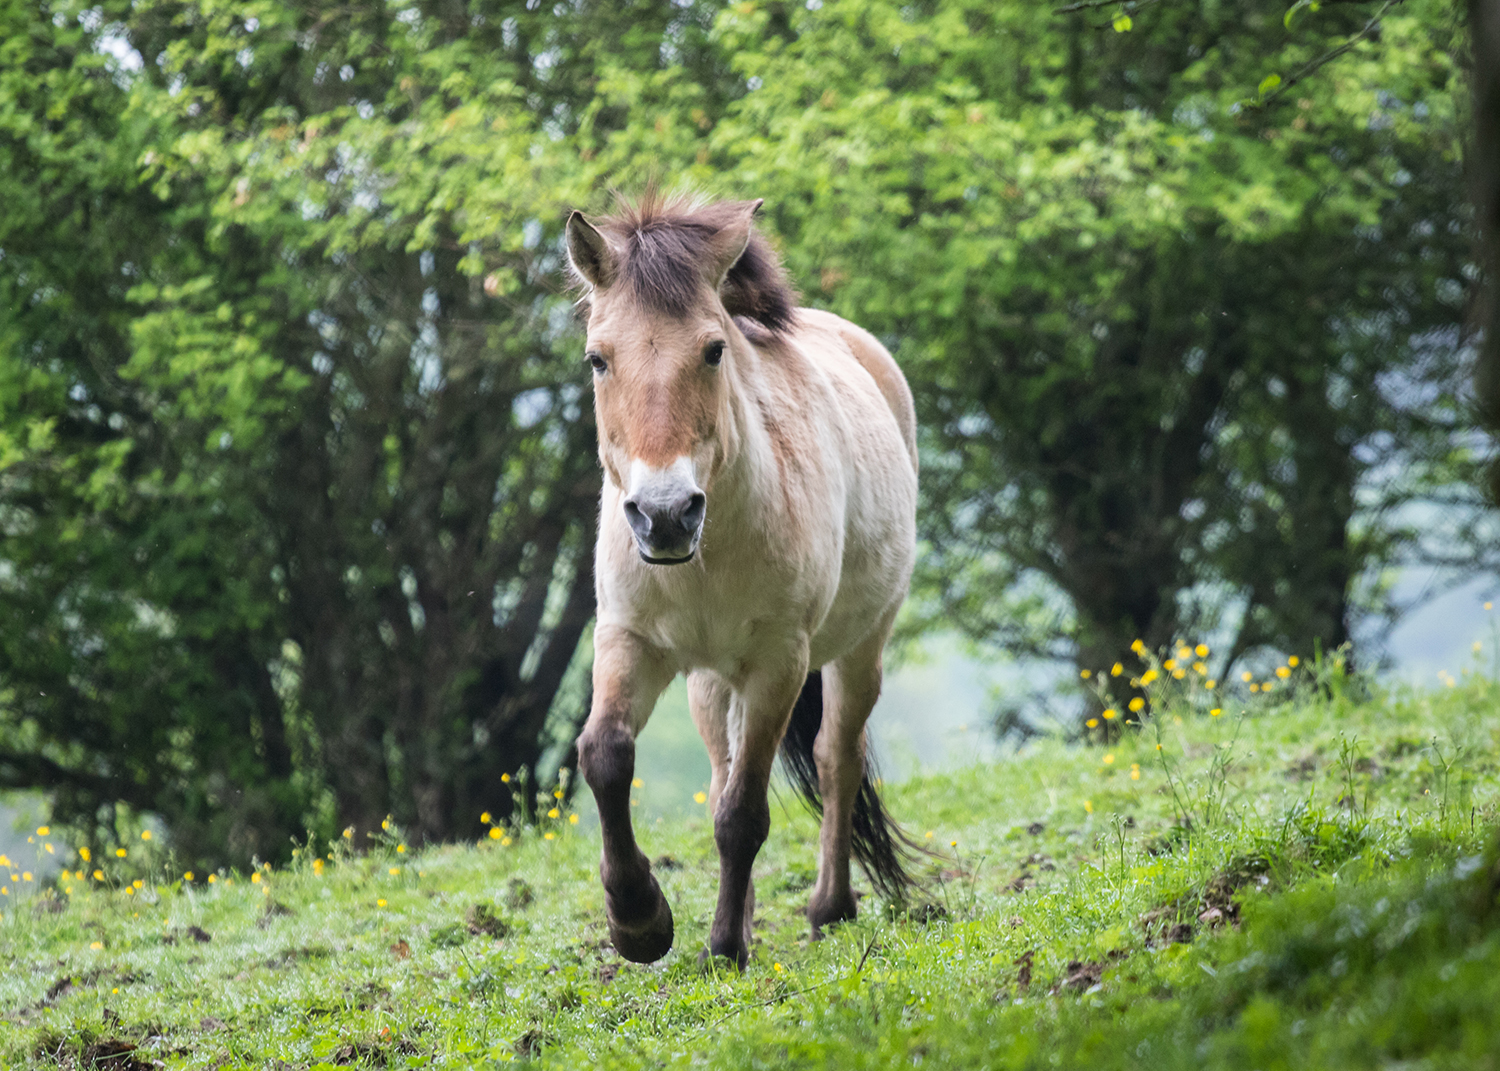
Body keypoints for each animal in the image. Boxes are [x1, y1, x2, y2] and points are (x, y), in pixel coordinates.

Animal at [564, 193, 912, 966]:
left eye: (713, 349)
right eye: (598, 359)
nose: (665, 515)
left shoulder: (779, 662)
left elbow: (744, 814)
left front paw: (722, 946)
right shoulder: (629, 639)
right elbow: (606, 755)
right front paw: (639, 921)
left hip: (860, 646)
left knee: (835, 759)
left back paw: (829, 907)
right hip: (708, 679)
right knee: (722, 766)